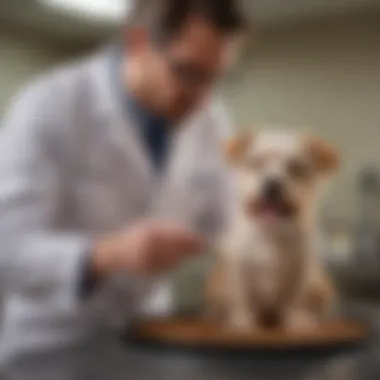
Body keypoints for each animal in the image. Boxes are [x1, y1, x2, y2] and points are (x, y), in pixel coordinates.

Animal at [205, 129, 338, 332]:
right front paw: (242, 321)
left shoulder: (303, 270)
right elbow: (241, 297)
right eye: (256, 163)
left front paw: (298, 319)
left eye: (296, 168)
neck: (271, 234)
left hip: (322, 287)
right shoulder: (239, 269)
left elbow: (299, 297)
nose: (272, 183)